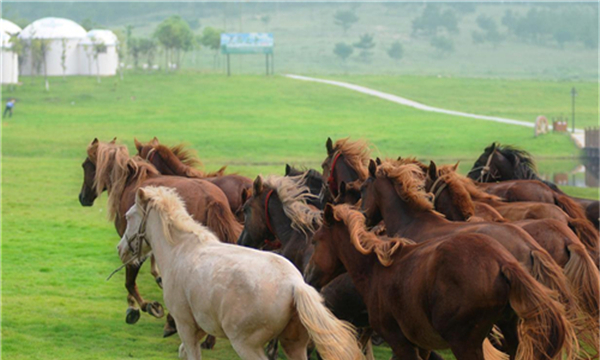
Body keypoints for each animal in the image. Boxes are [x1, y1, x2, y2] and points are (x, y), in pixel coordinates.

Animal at [78, 138, 241, 346]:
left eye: (85, 165)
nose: (83, 198)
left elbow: (130, 281)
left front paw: (141, 307)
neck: (130, 182)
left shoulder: (135, 244)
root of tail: (211, 198)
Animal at [116, 186, 360, 360]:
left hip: (247, 345)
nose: (121, 249)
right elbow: (183, 352)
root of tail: (295, 284)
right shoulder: (200, 328)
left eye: (128, 216)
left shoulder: (185, 326)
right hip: (294, 345)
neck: (179, 250)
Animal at [308, 204, 580, 360]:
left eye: (315, 240)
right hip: (509, 332)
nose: (309, 278)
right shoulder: (422, 345)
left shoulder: (400, 342)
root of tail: (503, 261)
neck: (377, 270)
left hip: (465, 343)